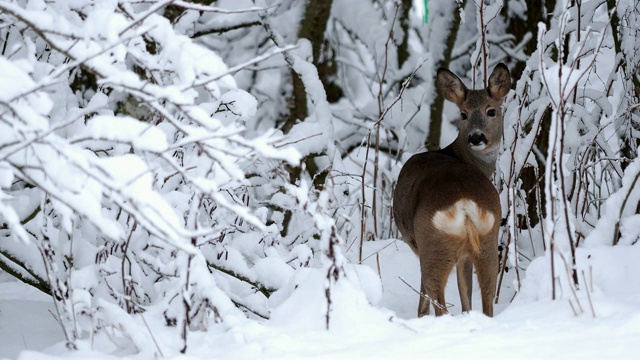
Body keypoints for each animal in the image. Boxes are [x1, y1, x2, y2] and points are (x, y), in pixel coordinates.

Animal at [392, 63, 512, 316]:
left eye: (491, 111)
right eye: (463, 114)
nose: (476, 137)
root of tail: (464, 202)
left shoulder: (417, 244)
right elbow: (466, 293)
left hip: (433, 242)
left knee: (437, 296)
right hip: (487, 239)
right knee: (486, 294)